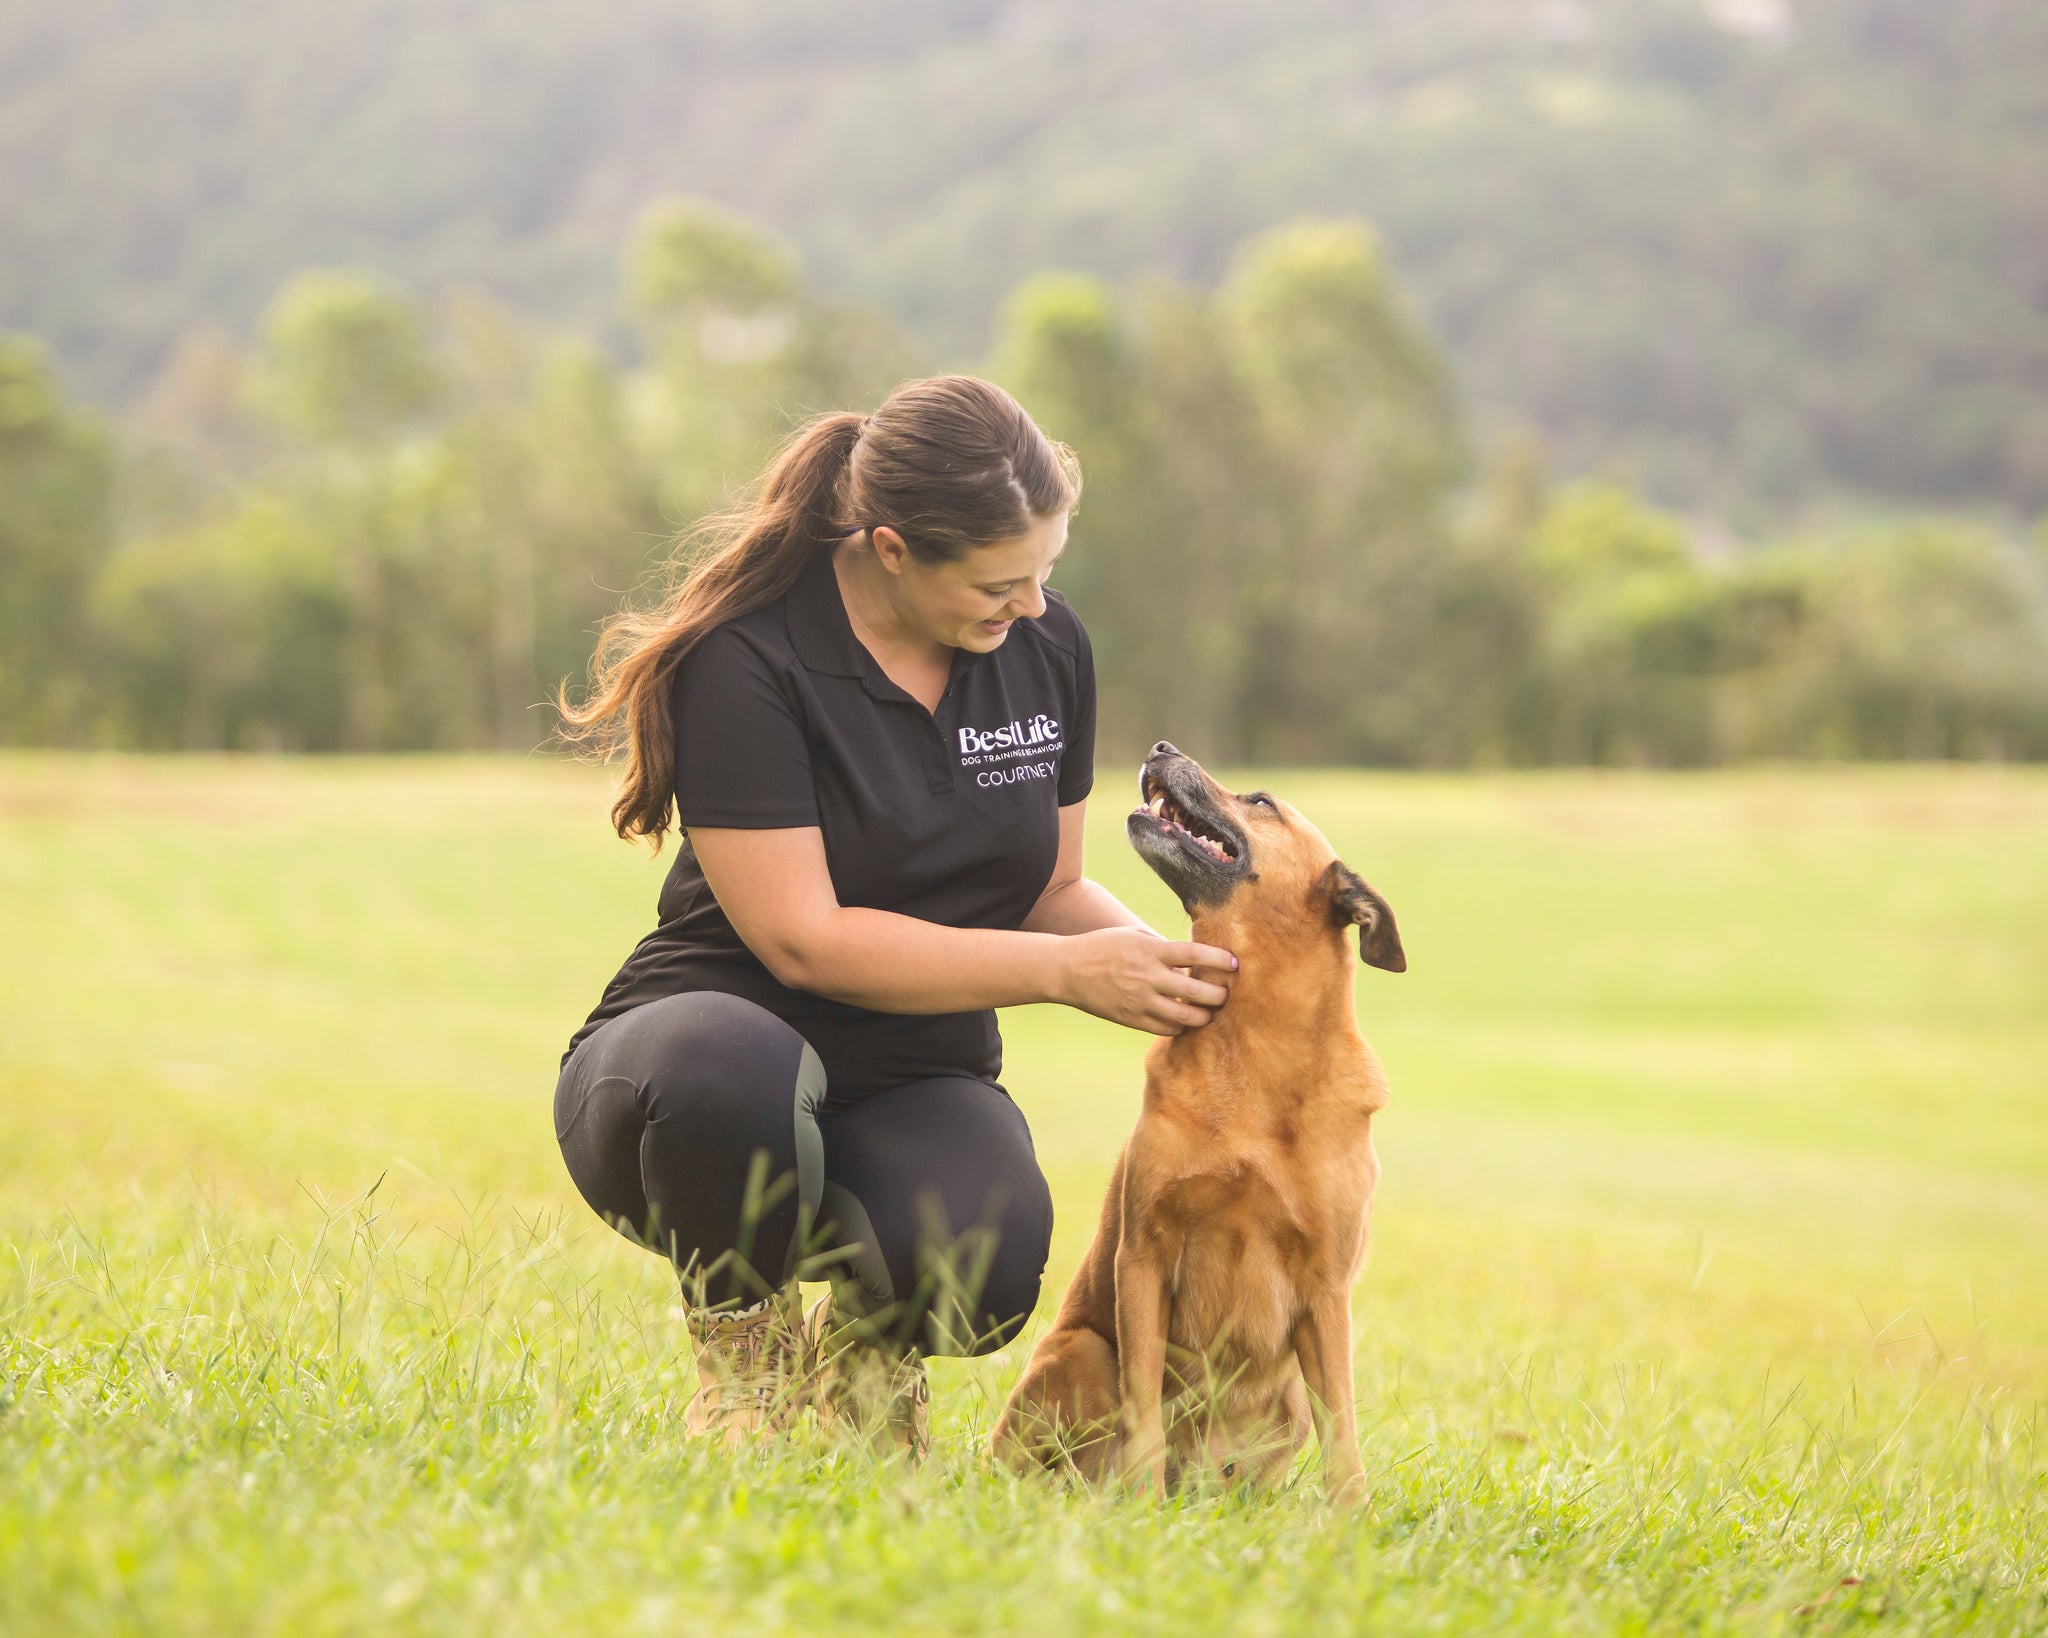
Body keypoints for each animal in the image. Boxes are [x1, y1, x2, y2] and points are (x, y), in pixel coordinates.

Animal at [983, 741, 1400, 1498]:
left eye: (1261, 801)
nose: (1161, 749)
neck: (1255, 1043)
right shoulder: (1144, 1256)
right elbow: (1145, 1411)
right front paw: (1144, 1504)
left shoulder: (1327, 1290)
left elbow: (1344, 1435)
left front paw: (1349, 1515)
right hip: (1081, 1352)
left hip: (1287, 1397)